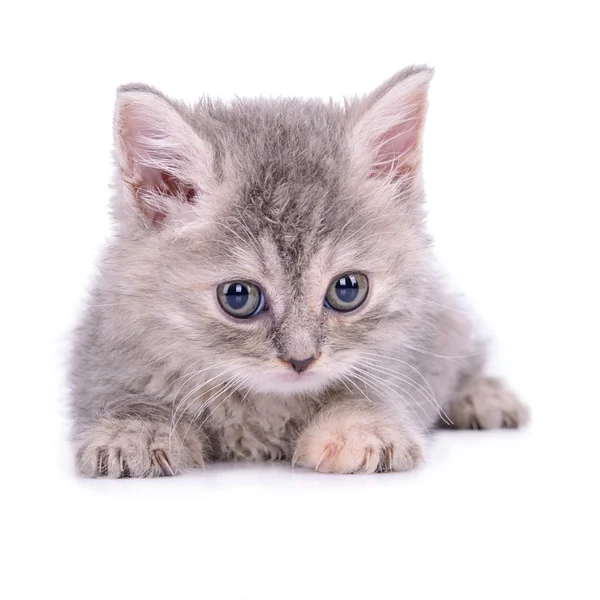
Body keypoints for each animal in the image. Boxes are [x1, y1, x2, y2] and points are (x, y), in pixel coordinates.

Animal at [71, 65, 528, 478]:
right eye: (238, 297)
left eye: (348, 290)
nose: (301, 360)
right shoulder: (108, 350)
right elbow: (125, 393)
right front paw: (134, 431)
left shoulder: (397, 357)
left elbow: (371, 388)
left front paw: (358, 428)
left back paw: (481, 394)